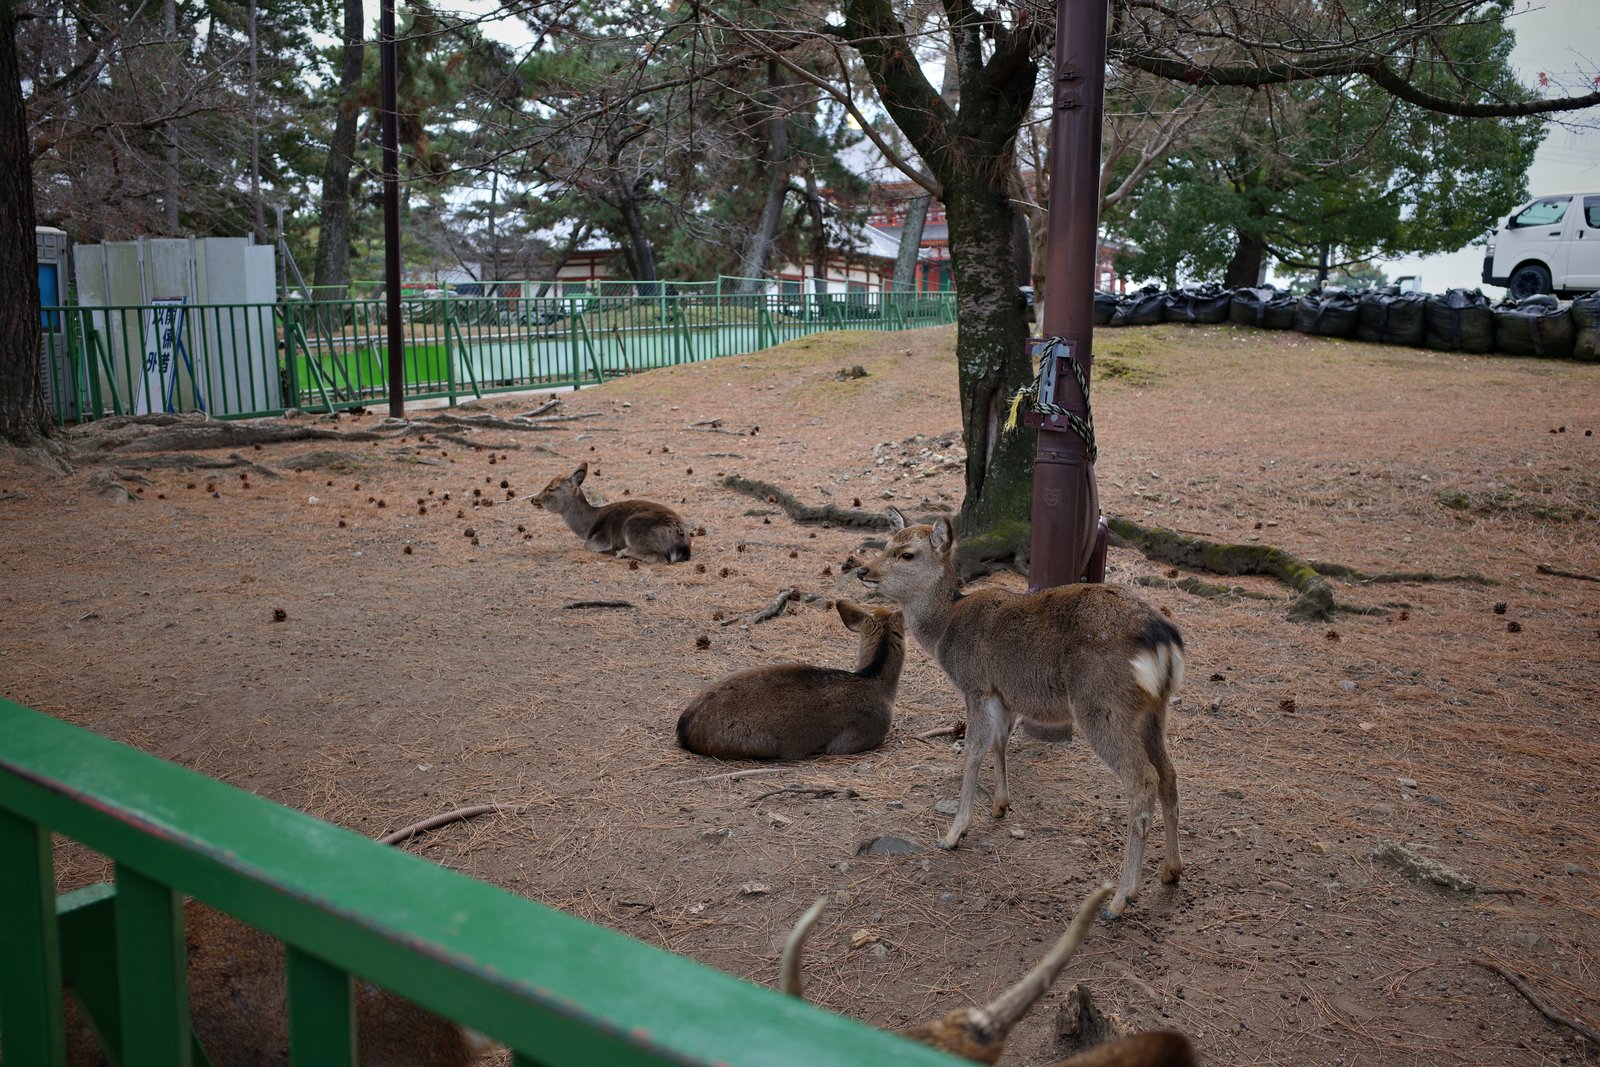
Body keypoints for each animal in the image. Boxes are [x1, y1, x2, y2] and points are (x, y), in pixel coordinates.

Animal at [531, 461, 692, 563]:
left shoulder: (602, 538)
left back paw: (621, 552)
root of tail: (680, 534)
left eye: (551, 488)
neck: (587, 527)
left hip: (633, 527)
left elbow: (586, 545)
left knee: (658, 558)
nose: (533, 499)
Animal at [855, 508, 1185, 919]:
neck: (945, 628)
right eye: (886, 545)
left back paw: (1120, 898)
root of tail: (1163, 641)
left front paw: (954, 833)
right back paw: (1172, 871)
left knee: (1143, 781)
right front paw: (1000, 806)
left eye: (907, 554)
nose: (862, 570)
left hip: (1102, 706)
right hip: (1153, 712)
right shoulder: (1005, 694)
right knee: (1168, 775)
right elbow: (1000, 744)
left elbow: (973, 750)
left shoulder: (976, 684)